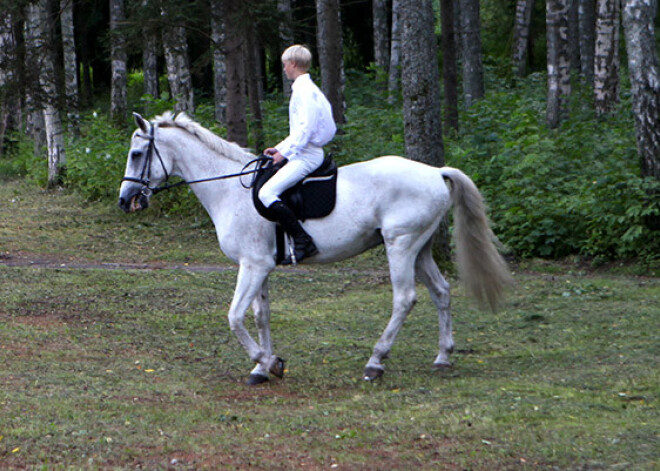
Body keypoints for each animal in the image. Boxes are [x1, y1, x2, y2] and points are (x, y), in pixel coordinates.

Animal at [118, 112, 510, 386]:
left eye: (137, 153)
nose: (125, 201)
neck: (229, 190)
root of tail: (435, 171)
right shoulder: (260, 267)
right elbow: (260, 316)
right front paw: (261, 369)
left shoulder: (252, 265)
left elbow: (234, 317)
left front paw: (270, 363)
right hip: (421, 248)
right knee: (441, 291)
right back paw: (443, 357)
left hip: (401, 246)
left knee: (404, 298)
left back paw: (375, 362)